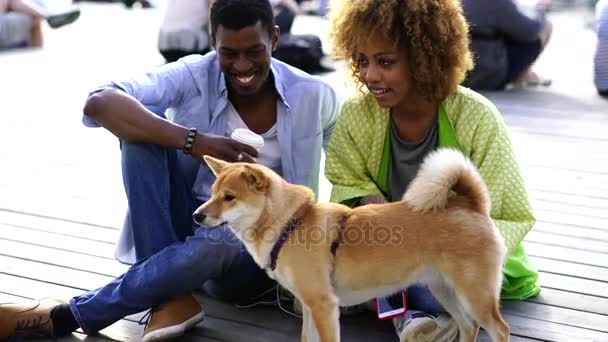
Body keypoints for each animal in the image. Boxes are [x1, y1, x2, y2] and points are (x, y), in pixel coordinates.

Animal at [194, 150, 508, 342]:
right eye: (212, 193)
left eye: (230, 197)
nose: (197, 215)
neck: (291, 224)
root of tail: (471, 205)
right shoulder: (310, 306)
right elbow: (306, 338)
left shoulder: (324, 306)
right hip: (444, 290)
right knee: (469, 326)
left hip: (475, 296)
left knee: (499, 329)